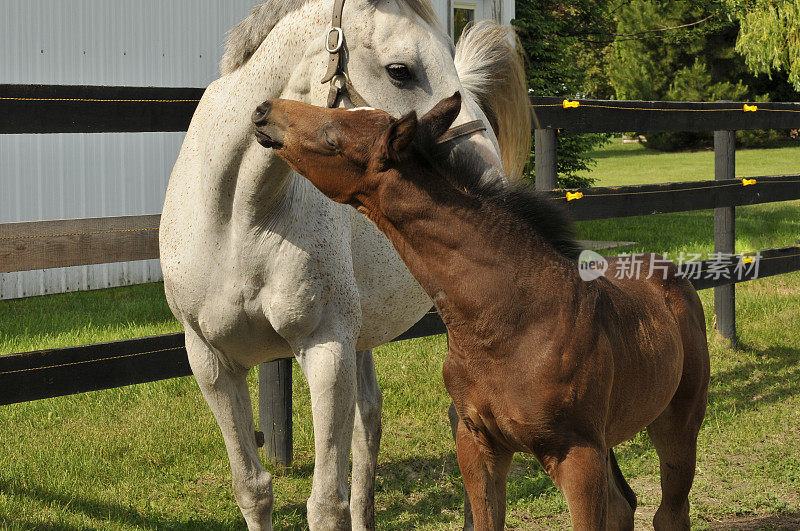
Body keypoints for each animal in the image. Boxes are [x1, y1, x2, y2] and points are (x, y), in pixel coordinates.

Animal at [159, 1, 528, 528]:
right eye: (400, 71)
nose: (488, 184)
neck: (239, 218)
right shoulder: (212, 362)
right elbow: (253, 489)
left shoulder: (326, 349)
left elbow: (324, 503)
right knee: (369, 420)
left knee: (464, 420)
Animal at [253, 93, 708, 528]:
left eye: (333, 138)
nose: (263, 110)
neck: (511, 323)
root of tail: (672, 273)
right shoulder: (477, 443)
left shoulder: (577, 453)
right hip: (608, 439)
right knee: (622, 505)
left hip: (677, 421)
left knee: (669, 512)